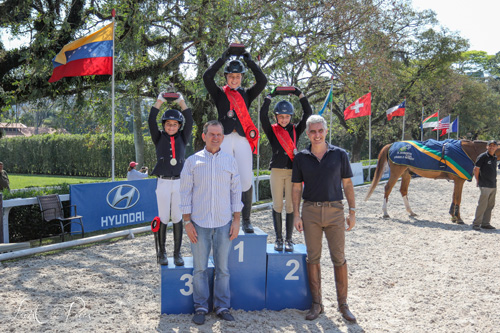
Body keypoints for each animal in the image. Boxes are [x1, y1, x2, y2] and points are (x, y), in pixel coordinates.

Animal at [364, 139, 500, 222]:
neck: (467, 151)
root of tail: (392, 144)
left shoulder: (457, 181)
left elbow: (454, 197)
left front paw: (453, 216)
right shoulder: (459, 181)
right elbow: (458, 198)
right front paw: (458, 218)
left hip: (406, 174)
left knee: (403, 190)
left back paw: (411, 212)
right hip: (396, 172)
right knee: (388, 188)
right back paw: (385, 212)